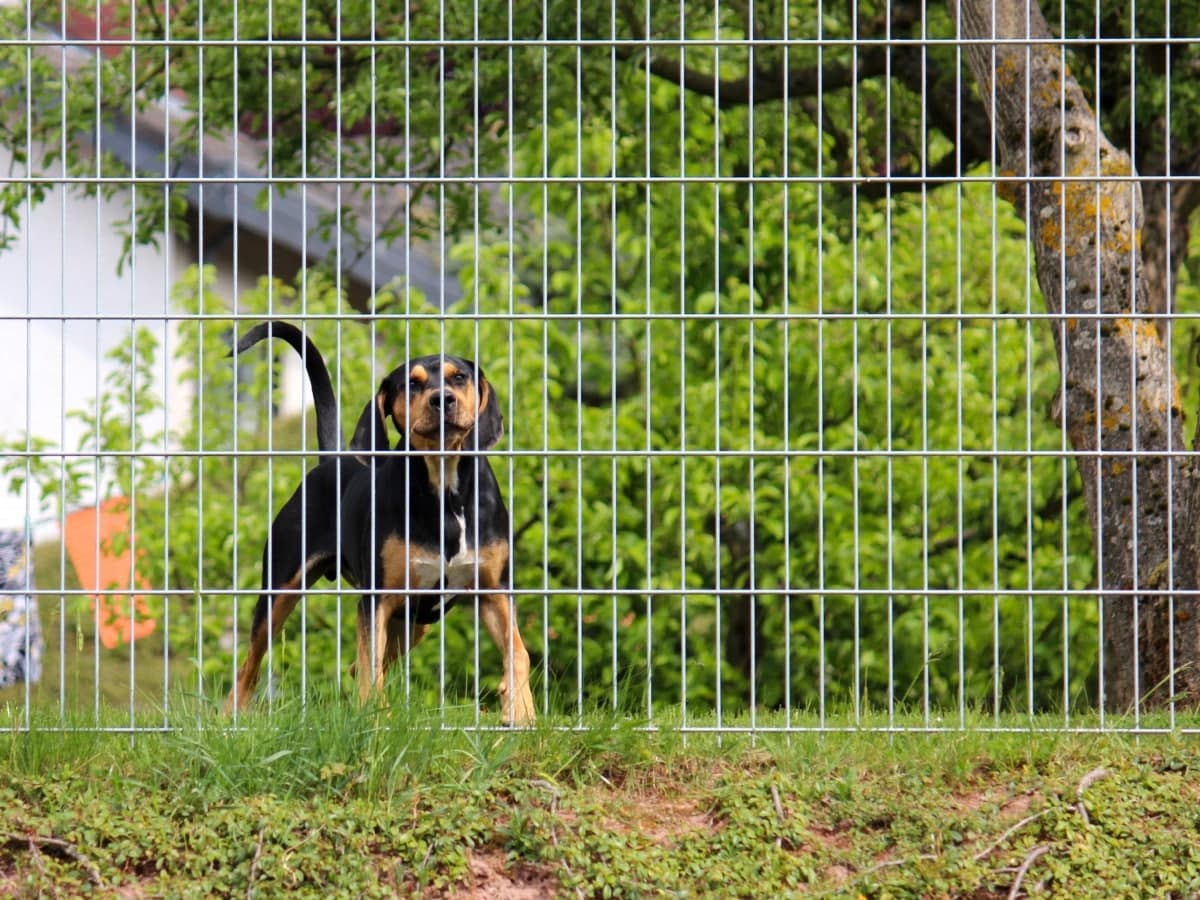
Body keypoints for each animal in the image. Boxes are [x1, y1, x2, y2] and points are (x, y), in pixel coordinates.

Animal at [225, 321, 535, 729]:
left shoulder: (495, 591)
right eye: (412, 384)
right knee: (250, 666)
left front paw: (521, 711)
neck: (445, 491)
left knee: (357, 667)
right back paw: (231, 717)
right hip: (280, 590)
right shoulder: (376, 599)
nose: (443, 400)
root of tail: (333, 458)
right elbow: (372, 667)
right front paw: (376, 719)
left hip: (414, 622)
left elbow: (519, 652)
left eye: (459, 377)